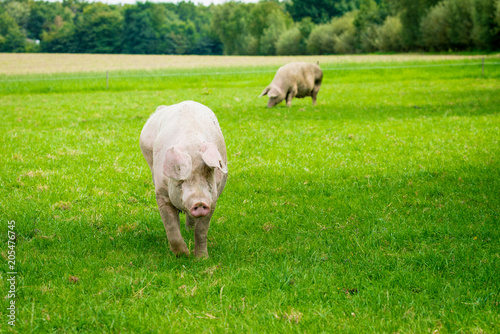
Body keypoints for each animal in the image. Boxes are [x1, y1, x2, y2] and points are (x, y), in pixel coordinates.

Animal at [139, 100, 229, 258]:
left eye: (208, 176)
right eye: (180, 182)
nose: (199, 202)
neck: (191, 146)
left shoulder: (213, 199)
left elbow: (201, 230)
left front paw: (201, 259)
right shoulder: (161, 193)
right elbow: (170, 226)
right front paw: (183, 255)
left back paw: (188, 230)